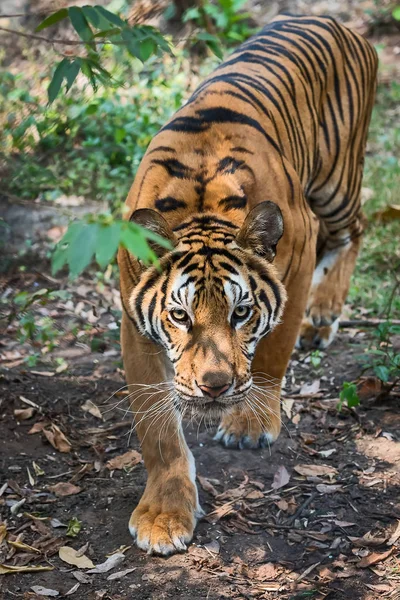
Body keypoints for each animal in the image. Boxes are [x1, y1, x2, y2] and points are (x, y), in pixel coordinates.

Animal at [117, 14, 376, 556]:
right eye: (179, 315)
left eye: (241, 313)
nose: (215, 387)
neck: (199, 205)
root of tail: (332, 20)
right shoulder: (134, 323)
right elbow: (156, 428)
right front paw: (163, 517)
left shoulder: (298, 257)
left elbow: (274, 351)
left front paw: (251, 424)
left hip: (337, 184)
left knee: (357, 226)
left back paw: (324, 314)